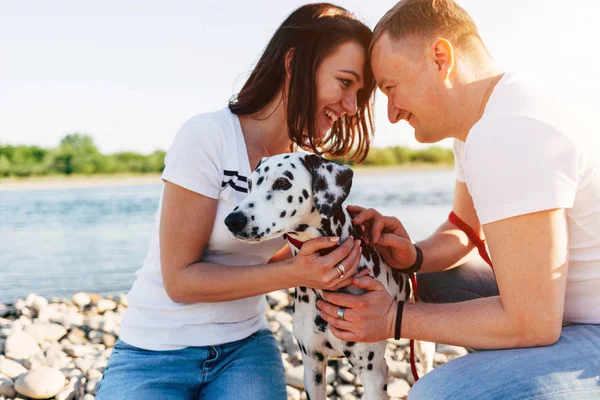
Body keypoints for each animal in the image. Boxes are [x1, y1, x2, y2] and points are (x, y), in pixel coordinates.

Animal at [224, 153, 432, 400]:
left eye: (282, 182)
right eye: (249, 184)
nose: (232, 220)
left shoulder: (373, 372)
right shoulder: (312, 365)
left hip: (422, 346)